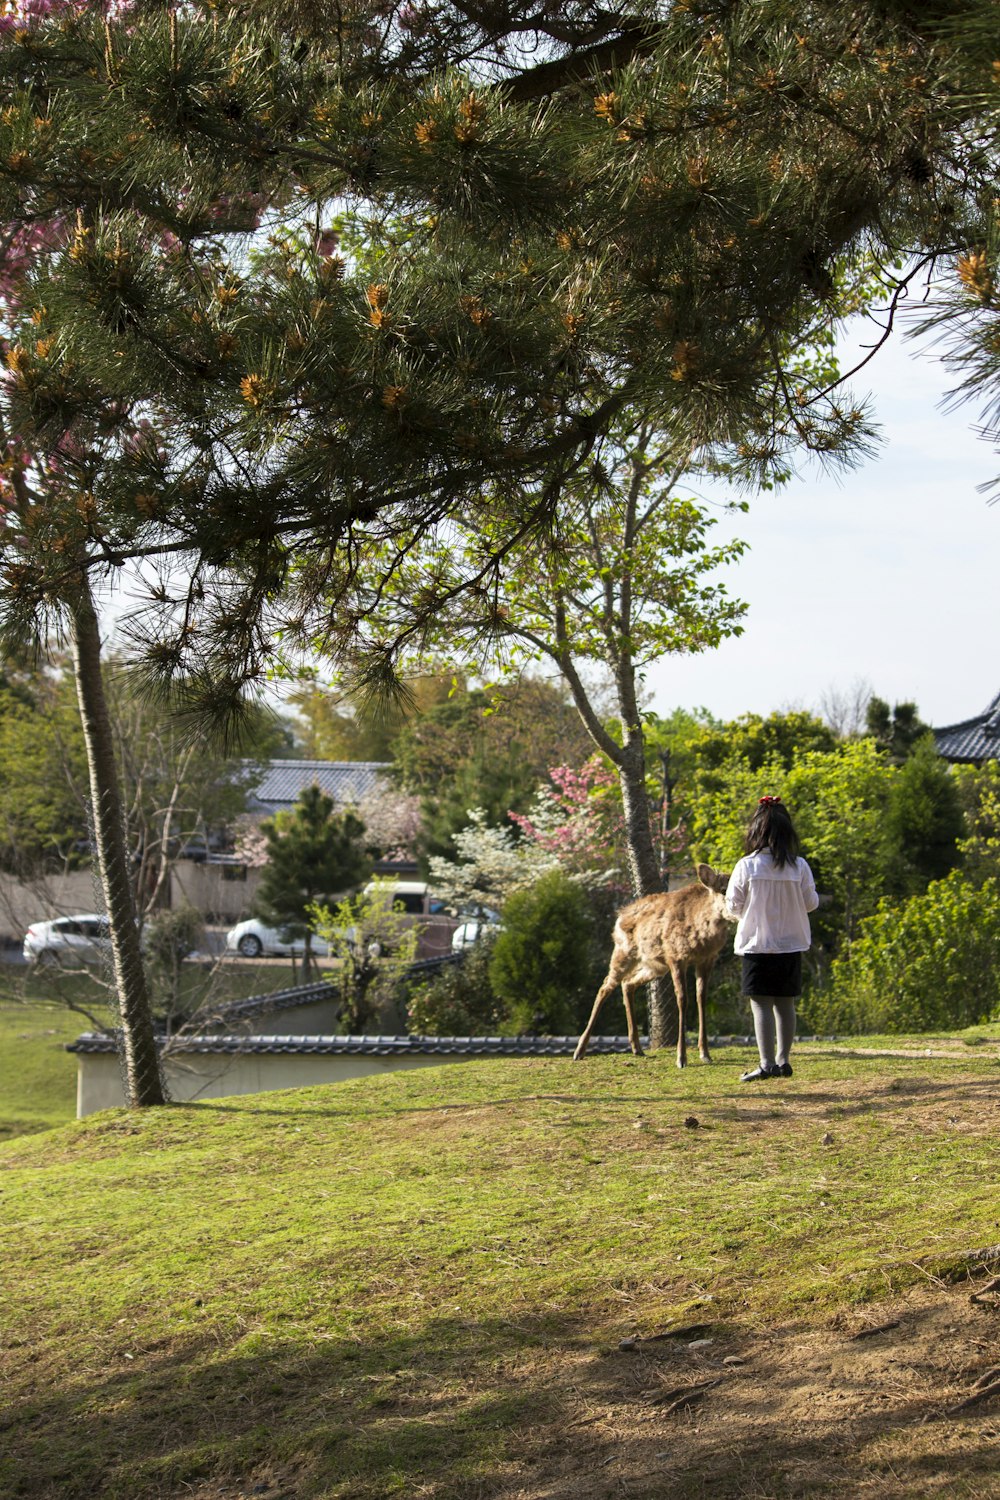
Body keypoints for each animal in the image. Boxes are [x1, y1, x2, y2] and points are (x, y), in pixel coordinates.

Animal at [569, 870, 734, 1068]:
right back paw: (579, 1050)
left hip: (654, 965)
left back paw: (637, 1048)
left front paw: (705, 1054)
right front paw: (681, 1058)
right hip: (623, 952)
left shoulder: (708, 959)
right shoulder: (675, 956)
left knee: (628, 983)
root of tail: (619, 916)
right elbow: (682, 999)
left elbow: (701, 998)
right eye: (723, 889)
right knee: (605, 986)